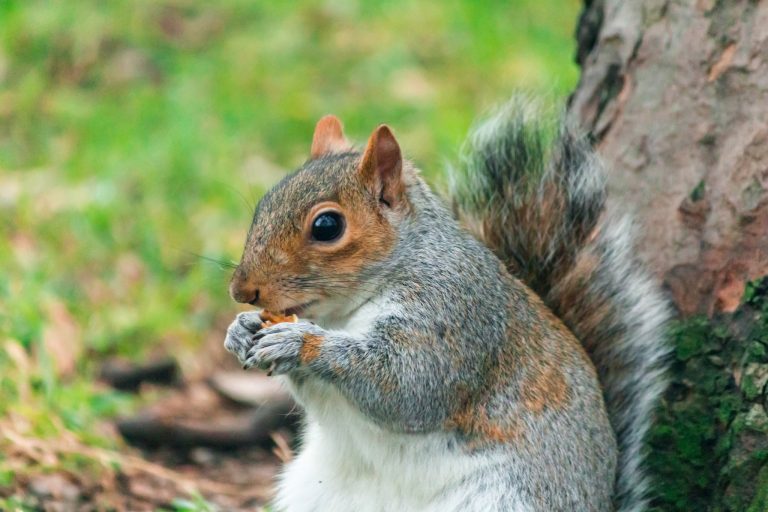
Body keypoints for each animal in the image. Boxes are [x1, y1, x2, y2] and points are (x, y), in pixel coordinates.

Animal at [224, 98, 670, 512]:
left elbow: (409, 383)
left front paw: (299, 342)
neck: (345, 312)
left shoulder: (455, 313)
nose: (242, 291)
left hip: (502, 500)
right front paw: (241, 329)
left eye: (327, 226)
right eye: (264, 204)